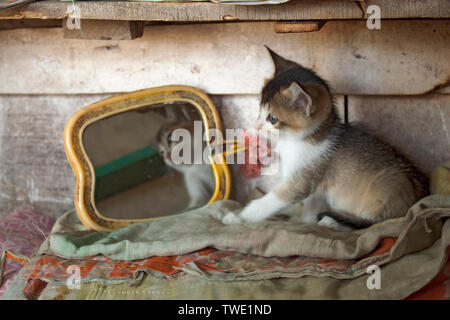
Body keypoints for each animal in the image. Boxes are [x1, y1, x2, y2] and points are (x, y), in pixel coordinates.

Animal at [221, 47, 428, 230]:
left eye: (272, 118)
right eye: (259, 108)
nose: (255, 126)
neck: (299, 140)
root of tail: (419, 195)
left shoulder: (301, 182)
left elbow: (268, 202)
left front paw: (239, 217)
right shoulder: (314, 187)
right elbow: (309, 209)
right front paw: (300, 218)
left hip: (388, 187)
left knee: (370, 224)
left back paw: (331, 222)